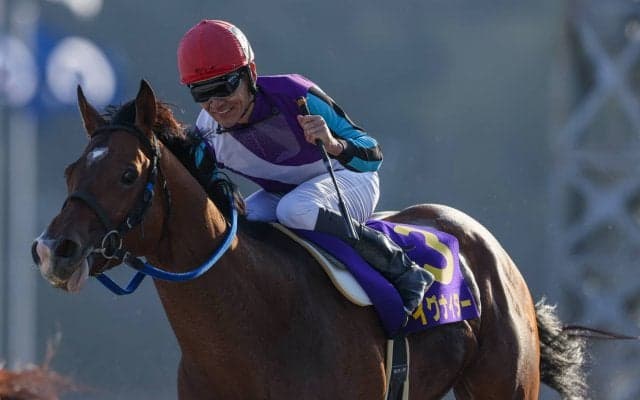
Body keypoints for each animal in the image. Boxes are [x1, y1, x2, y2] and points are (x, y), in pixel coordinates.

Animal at [32, 80, 589, 399]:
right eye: (69, 172)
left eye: (128, 175)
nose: (52, 250)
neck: (255, 325)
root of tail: (489, 247)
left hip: (505, 386)